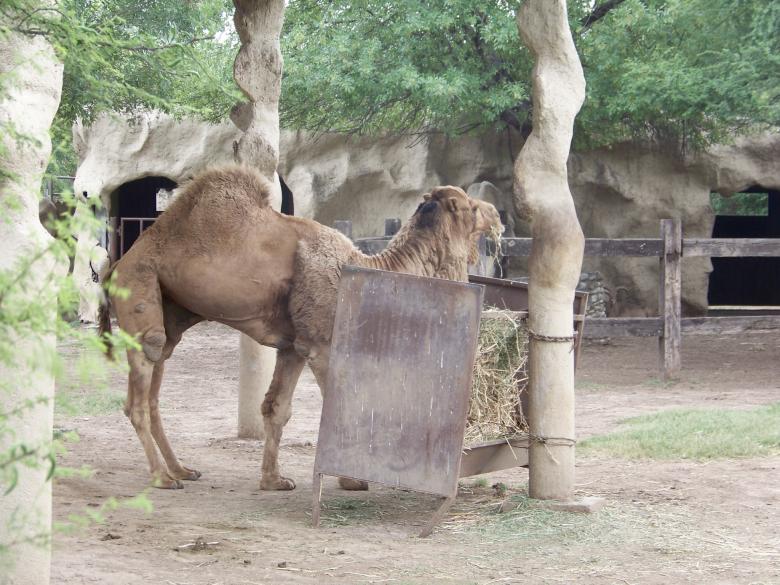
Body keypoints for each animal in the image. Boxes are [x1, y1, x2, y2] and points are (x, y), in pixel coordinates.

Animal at [99, 165, 502, 491]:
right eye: (471, 206)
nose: (497, 213)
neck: (362, 271)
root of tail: (118, 263)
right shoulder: (322, 344)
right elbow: (334, 407)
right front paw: (351, 480)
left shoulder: (294, 345)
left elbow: (276, 408)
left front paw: (273, 480)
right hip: (139, 288)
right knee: (141, 385)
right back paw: (162, 478)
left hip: (171, 310)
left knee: (156, 383)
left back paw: (182, 469)